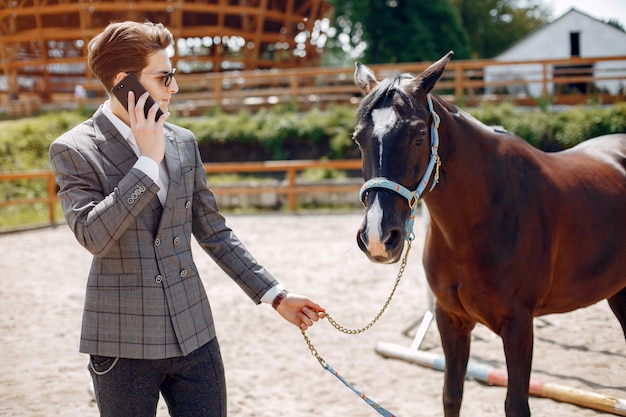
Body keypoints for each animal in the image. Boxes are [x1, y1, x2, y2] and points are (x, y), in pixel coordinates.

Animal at [352, 52, 624, 416]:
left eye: (419, 134)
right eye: (358, 138)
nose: (379, 237)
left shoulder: (519, 326)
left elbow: (516, 404)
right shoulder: (450, 319)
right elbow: (451, 395)